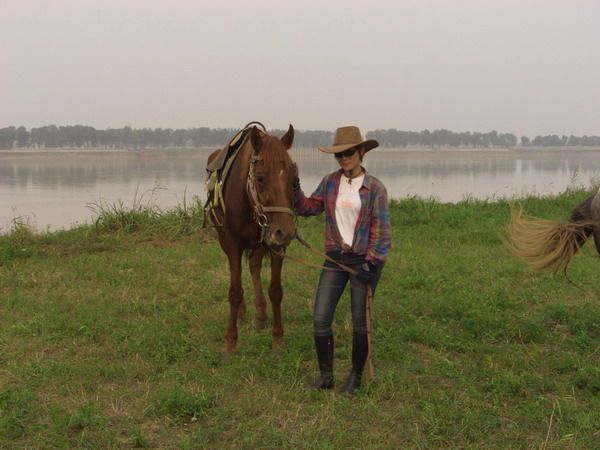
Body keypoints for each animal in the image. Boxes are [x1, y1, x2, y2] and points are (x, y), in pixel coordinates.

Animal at [206, 125, 298, 354]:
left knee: (254, 266)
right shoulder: (232, 243)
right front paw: (231, 341)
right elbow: (235, 291)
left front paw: (278, 339)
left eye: (294, 178)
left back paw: (261, 313)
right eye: (260, 177)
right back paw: (243, 311)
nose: (286, 231)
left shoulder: (276, 245)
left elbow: (276, 291)